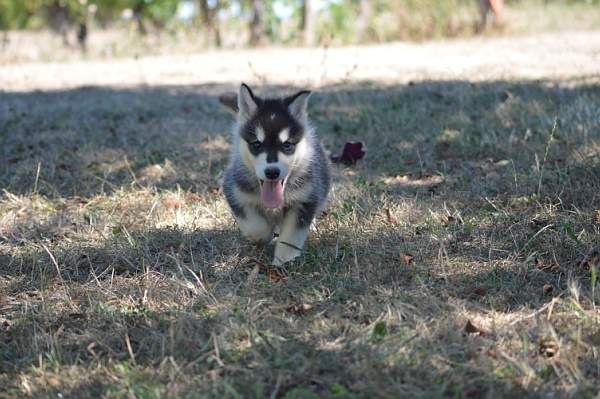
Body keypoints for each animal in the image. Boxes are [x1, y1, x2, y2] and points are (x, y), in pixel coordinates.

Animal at [221, 84, 330, 266]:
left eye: (287, 145)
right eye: (256, 144)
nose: (272, 172)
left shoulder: (304, 200)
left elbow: (291, 236)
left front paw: (283, 260)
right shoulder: (235, 193)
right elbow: (255, 227)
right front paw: (263, 236)